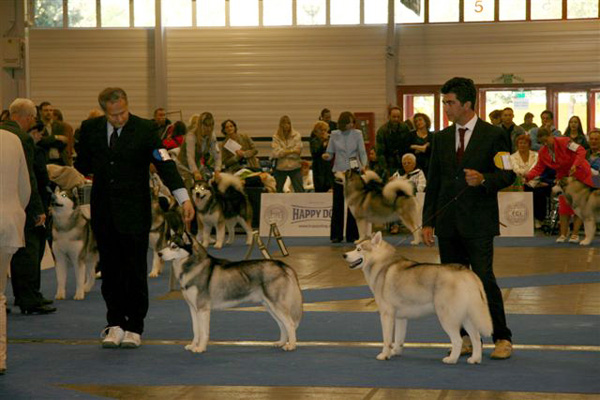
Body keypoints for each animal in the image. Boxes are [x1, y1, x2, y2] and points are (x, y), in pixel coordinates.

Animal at [158, 214, 302, 353]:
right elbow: (195, 330)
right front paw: (193, 345)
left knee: (290, 324)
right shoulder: (193, 308)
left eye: (174, 246)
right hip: (269, 306)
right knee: (282, 325)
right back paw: (281, 342)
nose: (159, 253)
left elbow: (203, 332)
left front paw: (200, 348)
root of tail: (281, 264)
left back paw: (291, 345)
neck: (192, 266)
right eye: (167, 244)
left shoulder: (203, 309)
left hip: (276, 305)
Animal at [343, 232, 492, 364]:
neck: (382, 263)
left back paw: (451, 359)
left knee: (458, 340)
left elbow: (387, 339)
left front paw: (384, 355)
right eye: (355, 247)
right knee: (476, 338)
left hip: (447, 317)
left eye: (359, 249)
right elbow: (398, 339)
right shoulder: (400, 317)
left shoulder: (386, 314)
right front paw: (395, 352)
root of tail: (466, 271)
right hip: (466, 316)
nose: (344, 255)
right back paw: (475, 359)